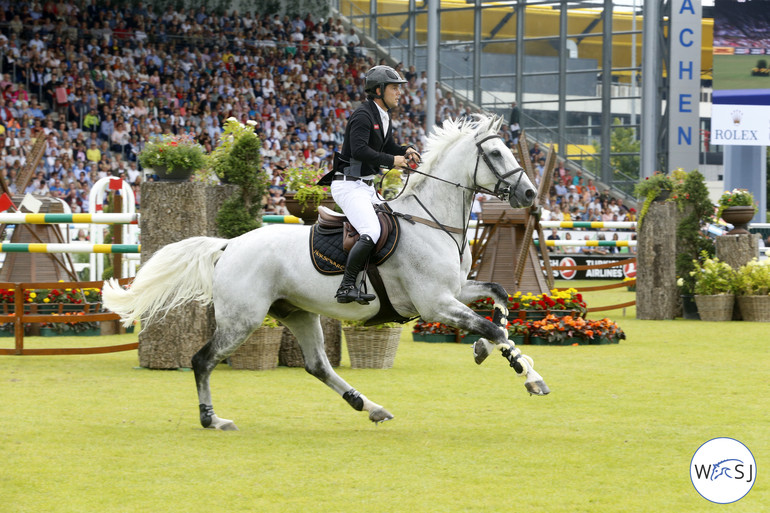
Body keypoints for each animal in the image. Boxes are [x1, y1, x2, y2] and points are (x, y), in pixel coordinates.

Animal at [102, 115, 544, 428]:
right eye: (497, 154)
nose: (530, 194)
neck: (432, 221)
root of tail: (229, 245)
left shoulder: (455, 291)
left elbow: (499, 298)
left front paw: (490, 352)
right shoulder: (435, 303)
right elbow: (492, 327)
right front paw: (528, 375)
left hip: (297, 312)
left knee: (317, 366)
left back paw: (369, 406)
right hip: (243, 319)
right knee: (202, 360)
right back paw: (213, 419)